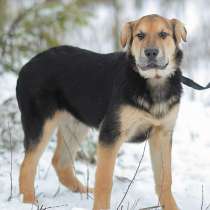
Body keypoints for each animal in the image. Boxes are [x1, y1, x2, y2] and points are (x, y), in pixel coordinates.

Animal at [16, 13, 187, 209]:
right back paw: (29, 202)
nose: (151, 52)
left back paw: (82, 191)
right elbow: (104, 181)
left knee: (60, 162)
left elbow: (165, 179)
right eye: (140, 35)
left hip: (75, 125)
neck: (153, 83)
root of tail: (26, 66)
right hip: (40, 123)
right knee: (27, 165)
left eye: (163, 34)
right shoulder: (110, 134)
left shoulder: (162, 134)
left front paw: (171, 206)